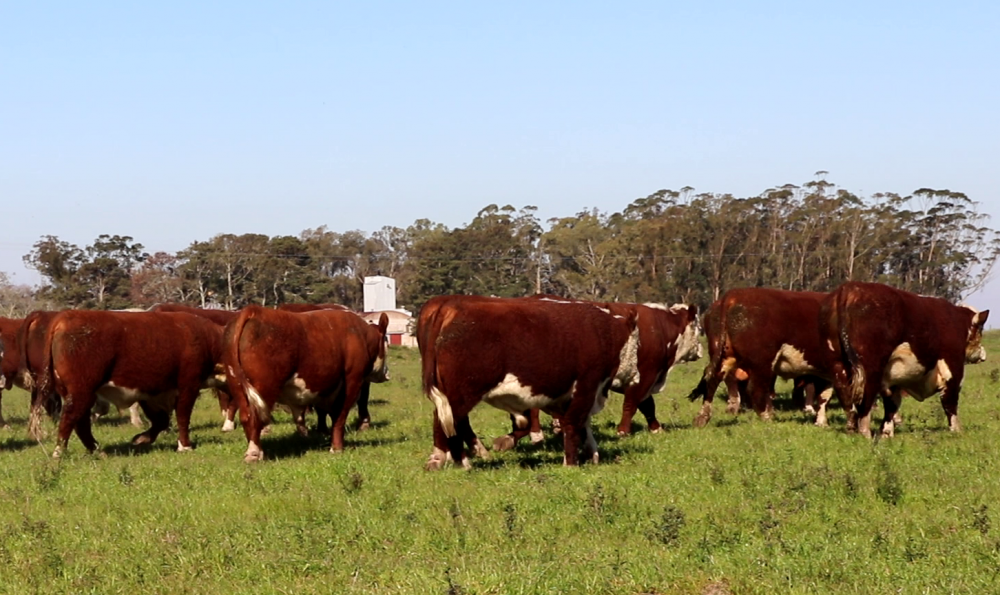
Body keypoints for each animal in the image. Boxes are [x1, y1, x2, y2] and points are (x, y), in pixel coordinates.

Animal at [37, 310, 229, 458]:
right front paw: (185, 446)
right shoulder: (188, 386)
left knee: (80, 422)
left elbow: (161, 420)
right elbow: (182, 416)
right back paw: (59, 453)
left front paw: (141, 439)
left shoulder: (152, 392)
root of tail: (64, 317)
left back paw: (98, 451)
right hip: (81, 391)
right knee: (70, 418)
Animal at [223, 304, 390, 464]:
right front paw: (336, 448)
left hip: (237, 386)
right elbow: (339, 417)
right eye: (385, 342)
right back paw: (254, 454)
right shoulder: (352, 381)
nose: (386, 373)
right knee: (255, 418)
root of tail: (254, 311)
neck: (360, 335)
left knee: (246, 416)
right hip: (265, 387)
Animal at [416, 294, 636, 470]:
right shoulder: (586, 385)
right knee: (453, 422)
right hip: (462, 393)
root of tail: (450, 304)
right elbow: (574, 424)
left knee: (446, 420)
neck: (605, 333)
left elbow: (582, 425)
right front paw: (571, 463)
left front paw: (591, 453)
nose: (636, 375)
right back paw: (462, 462)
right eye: (635, 342)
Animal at [688, 290, 836, 426]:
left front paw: (821, 421)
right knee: (755, 390)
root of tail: (733, 294)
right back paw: (767, 418)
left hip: (725, 357)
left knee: (712, 381)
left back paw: (702, 417)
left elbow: (824, 395)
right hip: (761, 364)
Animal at [816, 282, 988, 440]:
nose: (983, 355)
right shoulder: (953, 369)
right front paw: (956, 430)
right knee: (865, 399)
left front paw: (886, 433)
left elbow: (891, 405)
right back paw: (865, 434)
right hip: (870, 368)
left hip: (838, 365)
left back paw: (853, 430)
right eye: (980, 329)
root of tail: (850, 288)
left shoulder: (893, 378)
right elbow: (950, 403)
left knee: (846, 396)